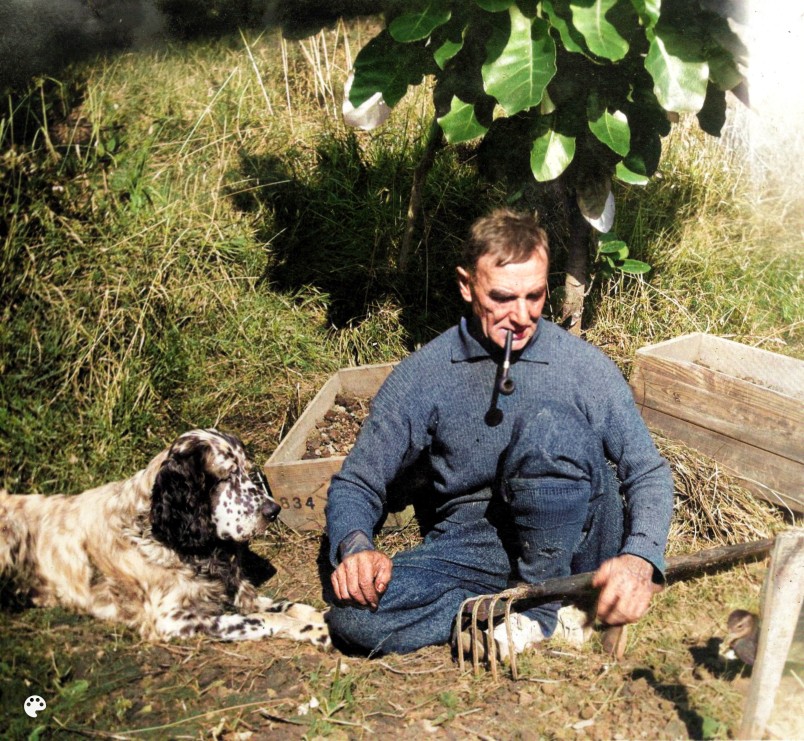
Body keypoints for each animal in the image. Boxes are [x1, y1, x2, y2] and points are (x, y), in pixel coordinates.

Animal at [0, 428, 330, 648]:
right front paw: (314, 629)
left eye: (248, 472)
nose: (274, 510)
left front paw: (316, 617)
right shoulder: (172, 618)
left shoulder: (238, 593)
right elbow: (264, 619)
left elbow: (286, 606)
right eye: (225, 476)